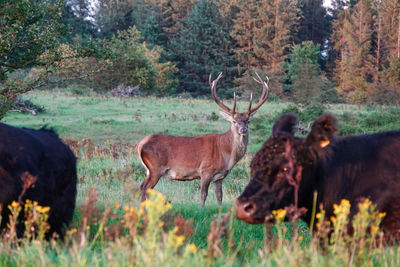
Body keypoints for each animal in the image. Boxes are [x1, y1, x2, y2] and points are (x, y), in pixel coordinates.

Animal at [136, 73, 270, 207]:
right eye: (234, 121)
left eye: (248, 121)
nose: (243, 130)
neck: (226, 153)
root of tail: (139, 145)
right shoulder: (205, 170)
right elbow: (203, 195)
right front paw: (201, 208)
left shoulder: (219, 177)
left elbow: (219, 197)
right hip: (155, 167)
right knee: (145, 188)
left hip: (149, 170)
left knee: (142, 186)